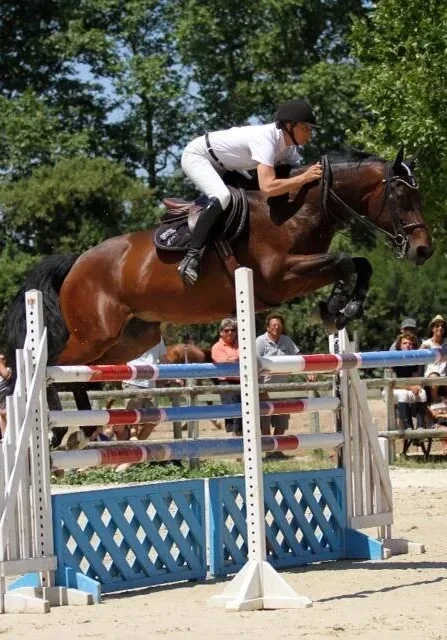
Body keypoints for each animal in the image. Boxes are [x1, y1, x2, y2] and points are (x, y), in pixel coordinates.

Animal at [6, 148, 432, 373]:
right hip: (91, 336)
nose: (423, 250)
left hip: (129, 340)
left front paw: (343, 308)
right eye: (402, 196)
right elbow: (344, 260)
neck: (297, 207)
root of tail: (77, 262)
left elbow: (360, 263)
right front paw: (335, 308)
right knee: (50, 364)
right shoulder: (281, 277)